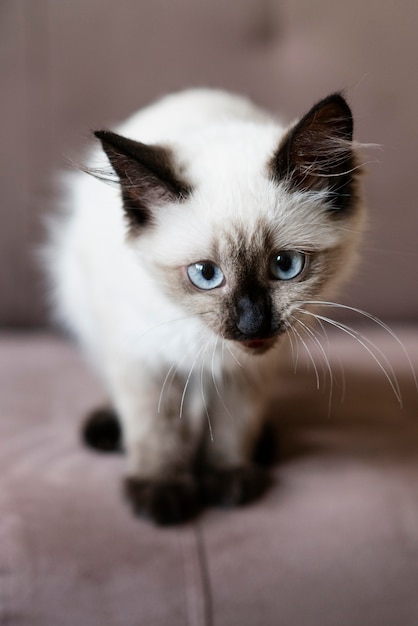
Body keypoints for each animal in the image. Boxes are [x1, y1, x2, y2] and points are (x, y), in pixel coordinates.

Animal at [46, 89, 366, 520]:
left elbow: (232, 425)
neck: (205, 344)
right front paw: (162, 493)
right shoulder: (141, 358)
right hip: (81, 306)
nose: (252, 323)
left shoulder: (245, 370)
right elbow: (155, 427)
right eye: (205, 274)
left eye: (286, 265)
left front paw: (226, 478)